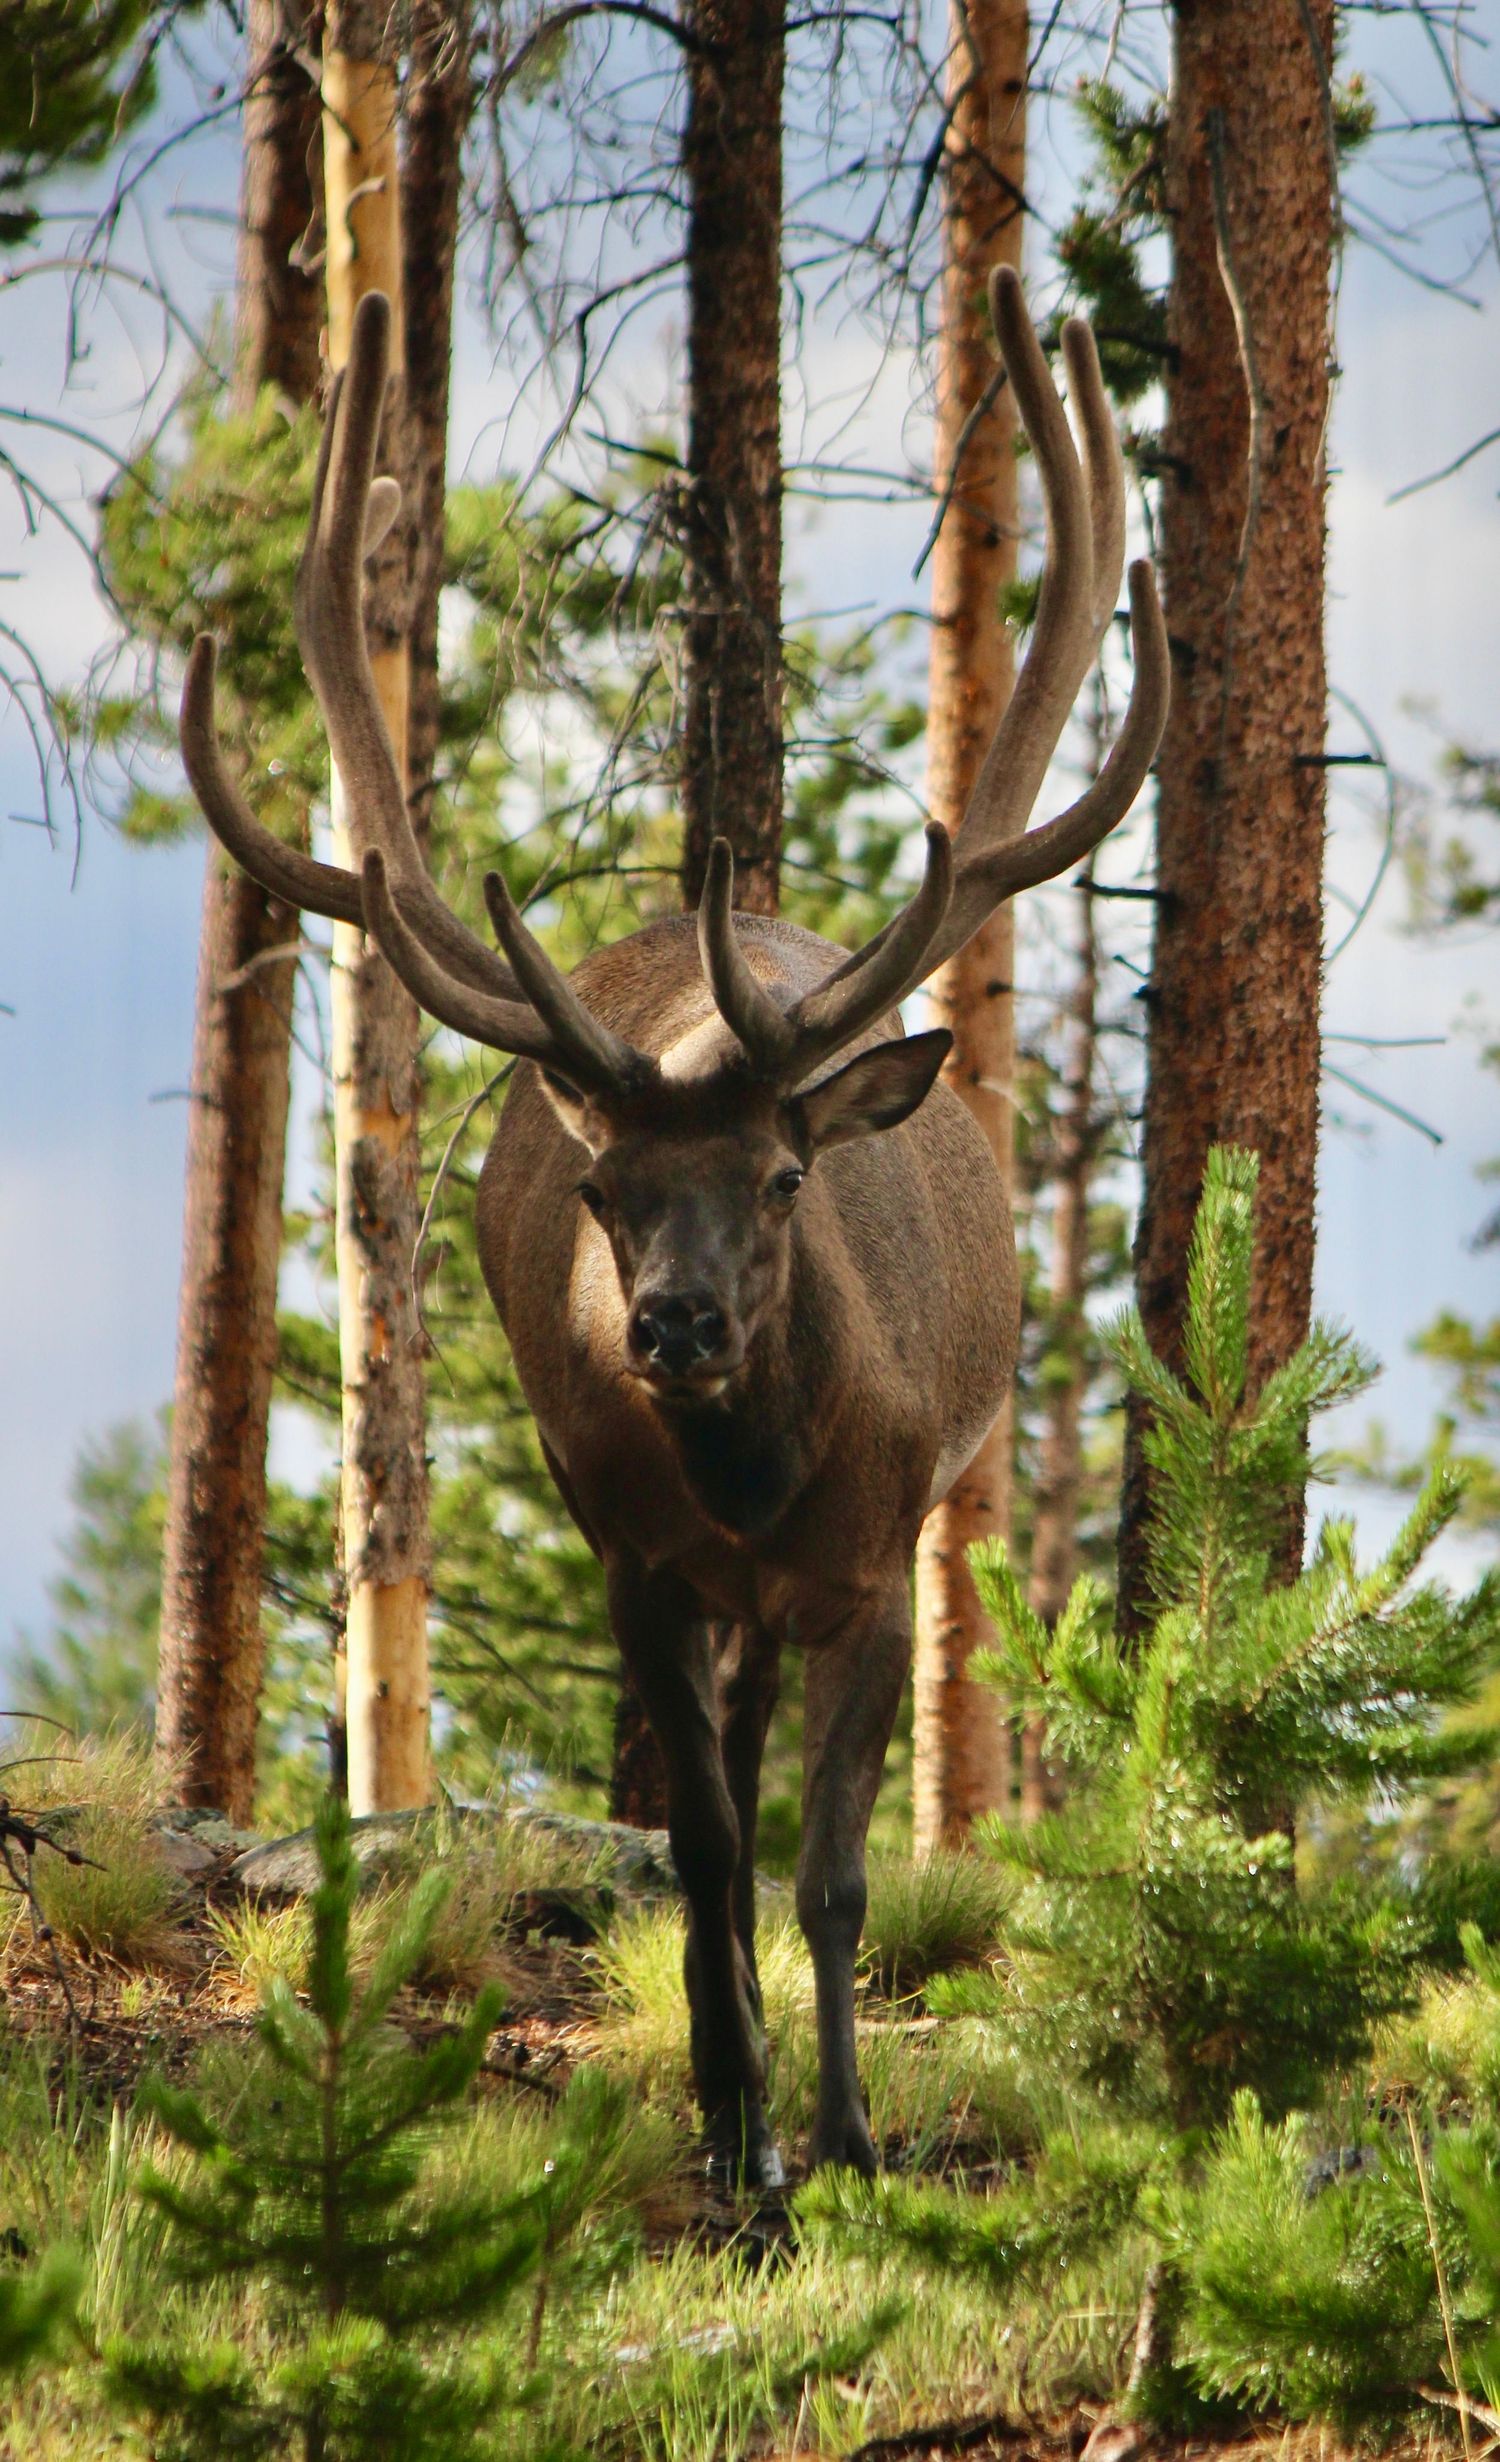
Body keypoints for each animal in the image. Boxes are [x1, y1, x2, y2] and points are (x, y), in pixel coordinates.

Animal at [179, 268, 1168, 2189]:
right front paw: (740, 2131)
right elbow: (707, 1850)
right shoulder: (635, 1555)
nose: (677, 1327)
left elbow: (838, 1871)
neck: (765, 1477)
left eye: (781, 1178)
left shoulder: (879, 1561)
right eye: (604, 1191)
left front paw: (847, 2133)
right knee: (714, 1794)